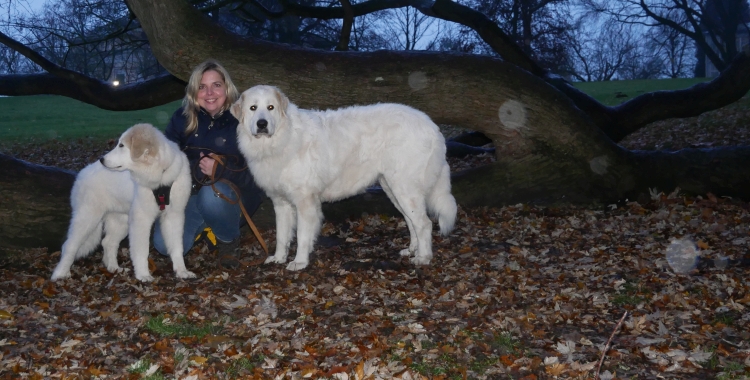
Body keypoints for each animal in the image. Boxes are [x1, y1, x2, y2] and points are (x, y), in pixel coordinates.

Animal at [51, 123, 195, 280]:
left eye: (121, 145)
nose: (102, 159)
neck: (159, 177)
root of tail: (83, 173)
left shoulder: (174, 215)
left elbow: (177, 247)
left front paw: (182, 271)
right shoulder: (141, 219)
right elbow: (141, 250)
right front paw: (143, 275)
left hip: (120, 221)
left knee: (108, 242)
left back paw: (114, 269)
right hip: (88, 218)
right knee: (69, 245)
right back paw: (60, 273)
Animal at [234, 85, 458, 270]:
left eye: (270, 107)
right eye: (253, 108)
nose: (262, 124)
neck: (281, 139)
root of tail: (431, 125)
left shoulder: (305, 201)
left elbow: (302, 236)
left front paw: (299, 262)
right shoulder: (281, 203)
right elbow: (282, 236)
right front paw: (278, 258)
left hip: (405, 187)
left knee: (424, 223)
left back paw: (423, 257)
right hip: (393, 188)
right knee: (412, 221)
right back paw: (412, 250)